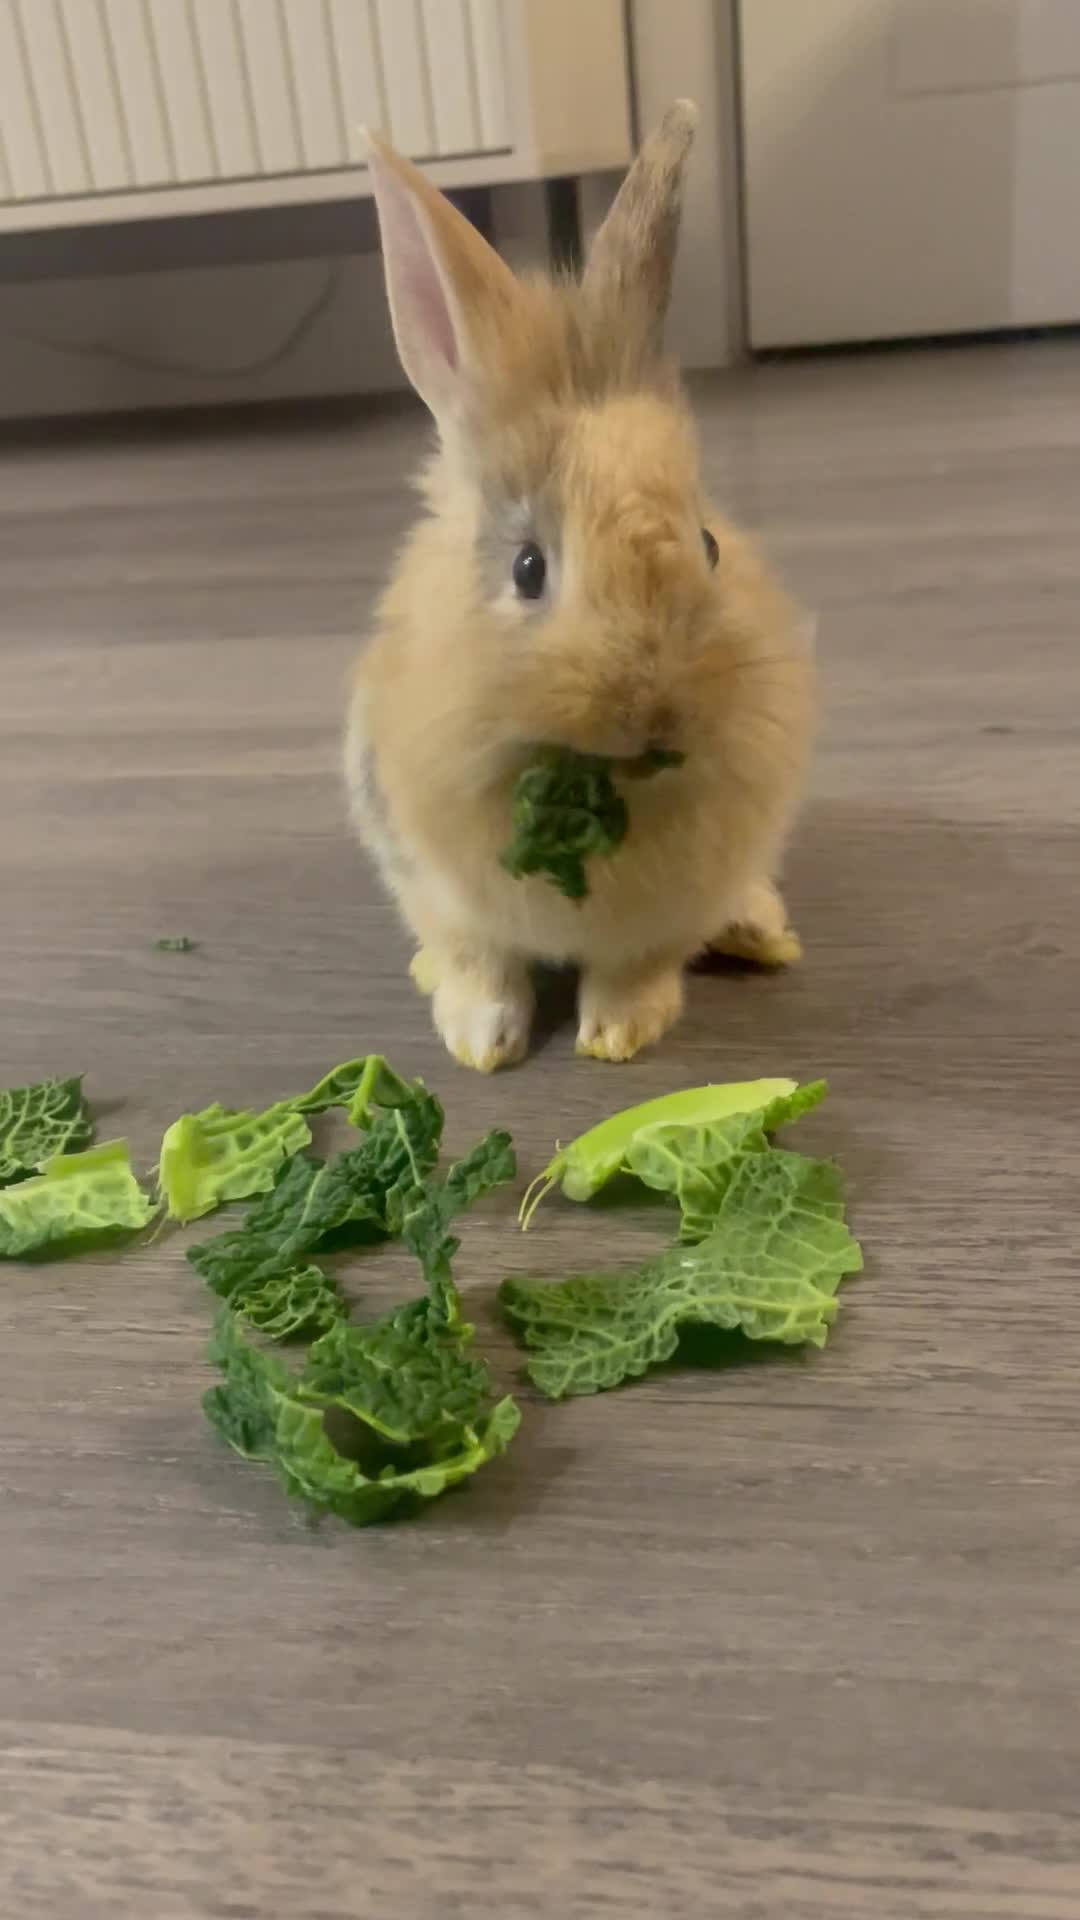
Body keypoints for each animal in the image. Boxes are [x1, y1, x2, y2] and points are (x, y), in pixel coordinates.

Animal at [347, 101, 814, 1071]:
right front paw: (481, 1045)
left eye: (709, 545)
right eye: (528, 569)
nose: (657, 715)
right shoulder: (439, 886)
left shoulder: (666, 913)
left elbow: (638, 968)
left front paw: (617, 1038)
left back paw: (760, 933)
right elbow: (482, 963)